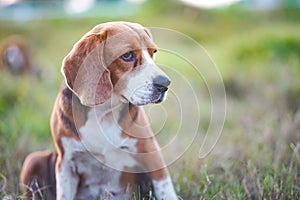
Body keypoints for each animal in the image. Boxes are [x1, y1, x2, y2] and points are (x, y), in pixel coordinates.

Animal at [20, 21, 178, 199]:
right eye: (127, 55)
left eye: (153, 52)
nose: (165, 84)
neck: (103, 112)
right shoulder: (66, 163)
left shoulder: (151, 153)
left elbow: (165, 189)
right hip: (33, 159)